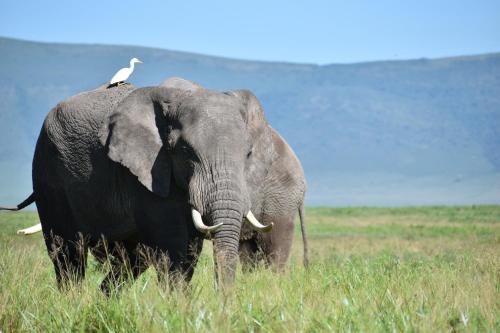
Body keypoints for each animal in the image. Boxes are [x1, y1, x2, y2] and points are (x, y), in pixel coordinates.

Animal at [0, 76, 308, 290]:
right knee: (67, 254)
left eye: (248, 154)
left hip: (281, 200)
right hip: (48, 172)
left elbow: (186, 250)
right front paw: (180, 309)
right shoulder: (148, 172)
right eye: (185, 152)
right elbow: (174, 246)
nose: (226, 307)